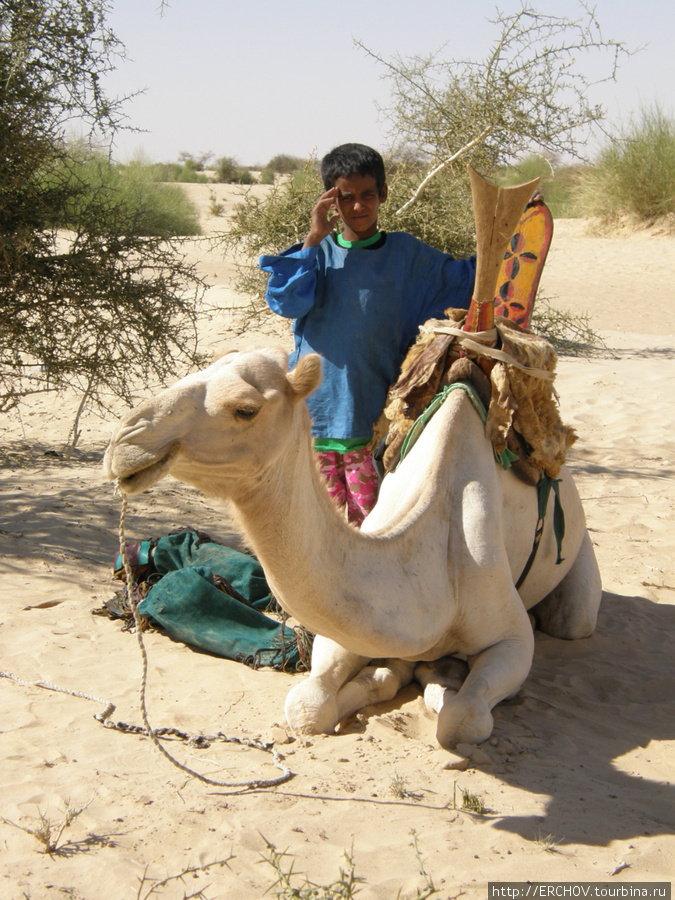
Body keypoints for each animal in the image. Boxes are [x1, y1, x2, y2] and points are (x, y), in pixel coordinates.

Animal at [101, 342, 604, 744]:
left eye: (245, 409)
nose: (125, 441)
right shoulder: (345, 633)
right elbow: (307, 708)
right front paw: (387, 673)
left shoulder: (511, 638)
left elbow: (462, 719)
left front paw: (437, 683)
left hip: (576, 577)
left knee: (573, 619)